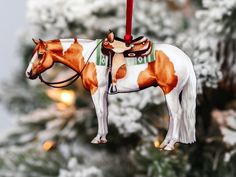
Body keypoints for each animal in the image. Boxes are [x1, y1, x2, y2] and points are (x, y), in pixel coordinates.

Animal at [25, 33, 197, 151]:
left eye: (40, 54)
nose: (28, 73)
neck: (87, 57)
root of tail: (185, 58)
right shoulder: (103, 92)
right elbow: (105, 112)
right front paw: (104, 137)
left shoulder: (96, 89)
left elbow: (99, 112)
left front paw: (97, 138)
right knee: (171, 115)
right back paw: (164, 143)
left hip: (171, 91)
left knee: (176, 114)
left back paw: (170, 145)